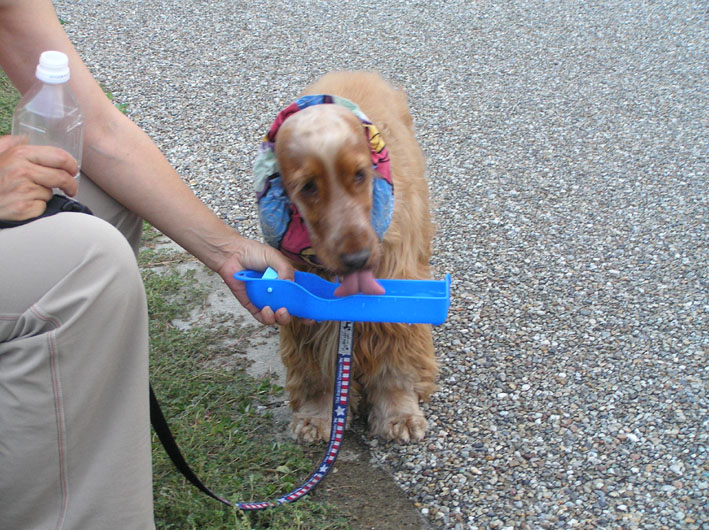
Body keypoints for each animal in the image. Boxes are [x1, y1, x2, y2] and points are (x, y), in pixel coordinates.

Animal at [254, 71, 437, 443]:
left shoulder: (395, 278)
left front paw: (399, 414)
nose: (358, 259)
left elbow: (395, 357)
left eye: (361, 175)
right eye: (308, 186)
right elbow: (316, 368)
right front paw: (317, 415)